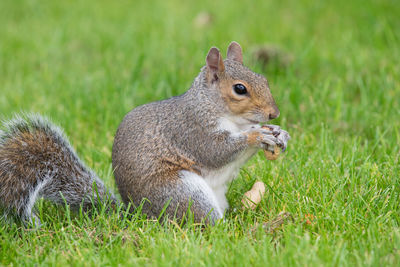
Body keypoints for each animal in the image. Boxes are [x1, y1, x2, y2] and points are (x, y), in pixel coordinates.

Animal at [0, 42, 290, 226]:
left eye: (263, 78)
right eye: (240, 89)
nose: (274, 113)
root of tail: (137, 215)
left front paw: (279, 133)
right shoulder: (192, 130)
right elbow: (217, 151)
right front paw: (257, 136)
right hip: (182, 193)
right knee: (207, 226)